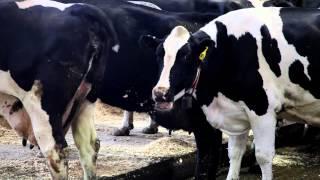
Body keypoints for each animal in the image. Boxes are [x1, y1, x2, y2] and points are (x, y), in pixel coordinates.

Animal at [149, 7, 320, 180]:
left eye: (186, 56)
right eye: (158, 55)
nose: (160, 93)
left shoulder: (262, 108)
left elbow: (263, 156)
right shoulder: (236, 109)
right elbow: (234, 152)